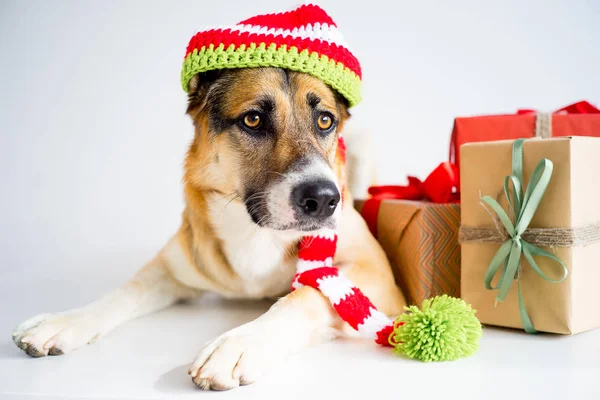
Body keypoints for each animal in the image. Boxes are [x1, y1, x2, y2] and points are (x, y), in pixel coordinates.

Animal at [12, 66, 408, 390]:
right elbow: (122, 293)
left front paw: (240, 343)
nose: (325, 199)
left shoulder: (377, 273)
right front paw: (63, 321)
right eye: (253, 119)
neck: (256, 230)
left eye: (325, 121)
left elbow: (307, 294)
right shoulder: (172, 268)